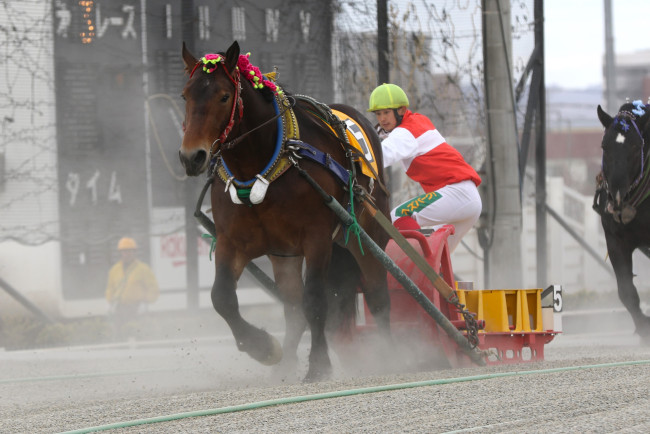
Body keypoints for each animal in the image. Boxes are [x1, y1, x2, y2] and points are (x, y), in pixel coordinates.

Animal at [177, 40, 390, 380]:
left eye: (224, 96)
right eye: (186, 95)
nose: (191, 156)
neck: (264, 162)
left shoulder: (316, 238)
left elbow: (314, 299)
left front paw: (319, 364)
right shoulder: (231, 241)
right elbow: (222, 297)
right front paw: (263, 348)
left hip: (367, 234)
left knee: (378, 293)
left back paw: (392, 354)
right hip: (284, 255)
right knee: (292, 307)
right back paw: (287, 362)